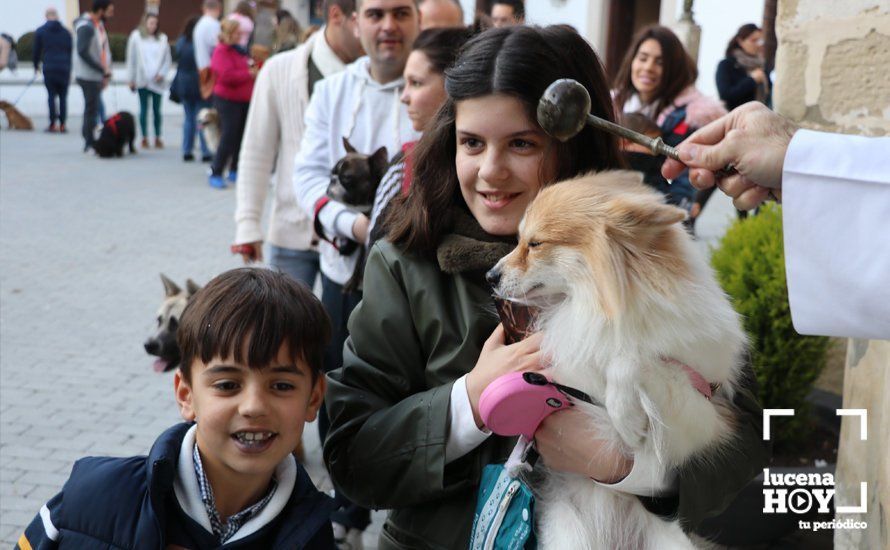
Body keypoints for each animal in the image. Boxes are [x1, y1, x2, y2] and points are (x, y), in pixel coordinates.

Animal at [490, 172, 744, 550]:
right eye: (519, 240)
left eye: (535, 244)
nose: (489, 276)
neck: (601, 308)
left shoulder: (702, 408)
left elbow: (632, 361)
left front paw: (627, 419)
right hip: (569, 536)